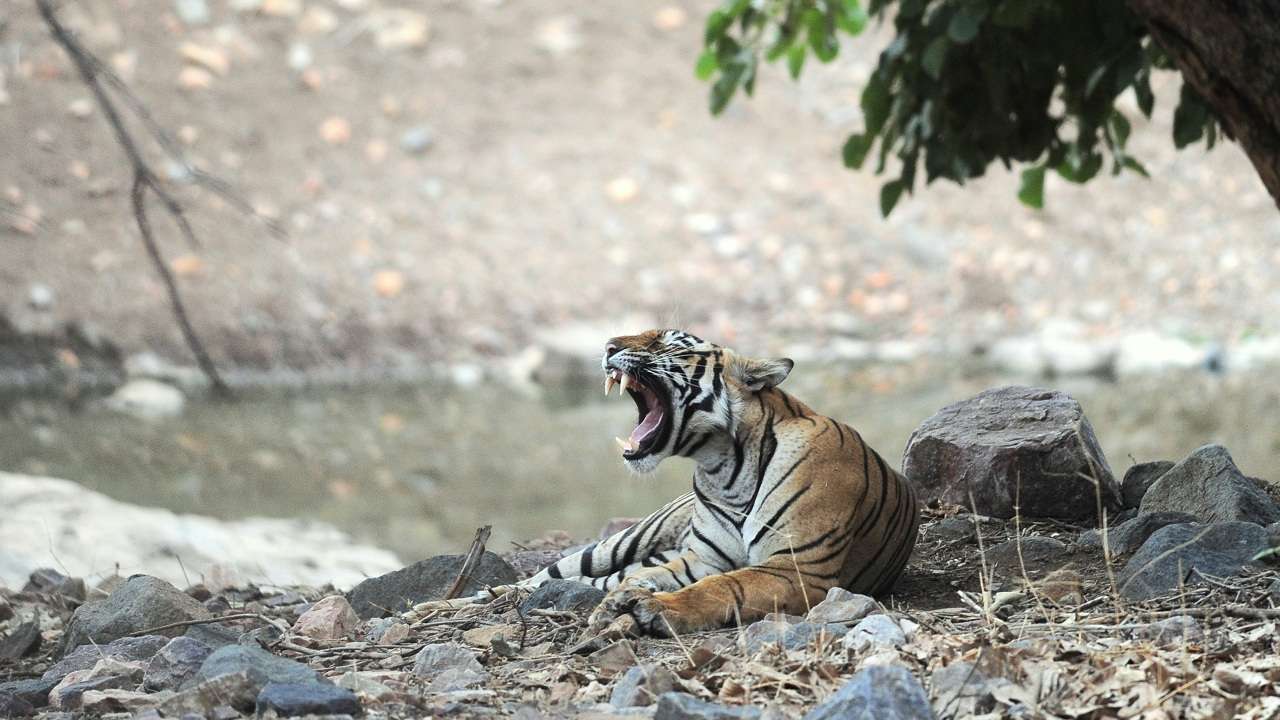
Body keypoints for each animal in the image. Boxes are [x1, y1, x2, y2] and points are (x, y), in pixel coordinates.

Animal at [437, 329, 920, 637]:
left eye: (669, 342)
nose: (608, 345)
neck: (725, 469)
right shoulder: (702, 558)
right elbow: (660, 575)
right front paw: (628, 600)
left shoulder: (797, 568)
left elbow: (721, 586)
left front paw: (649, 607)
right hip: (617, 542)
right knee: (533, 581)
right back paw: (446, 604)